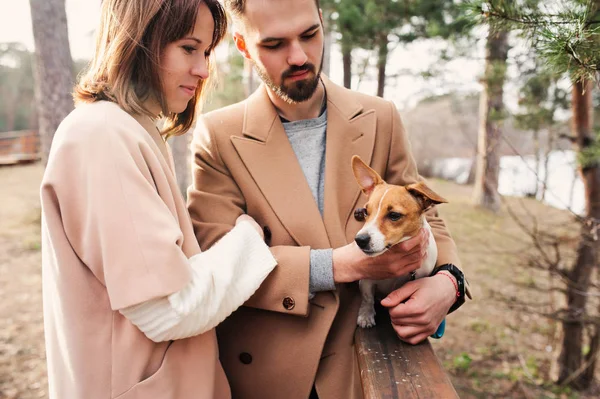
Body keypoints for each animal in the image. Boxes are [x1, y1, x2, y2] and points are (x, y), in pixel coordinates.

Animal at [352, 156, 446, 328]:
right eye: (366, 211)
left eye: (394, 215)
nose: (360, 240)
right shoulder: (367, 281)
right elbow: (367, 298)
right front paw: (366, 314)